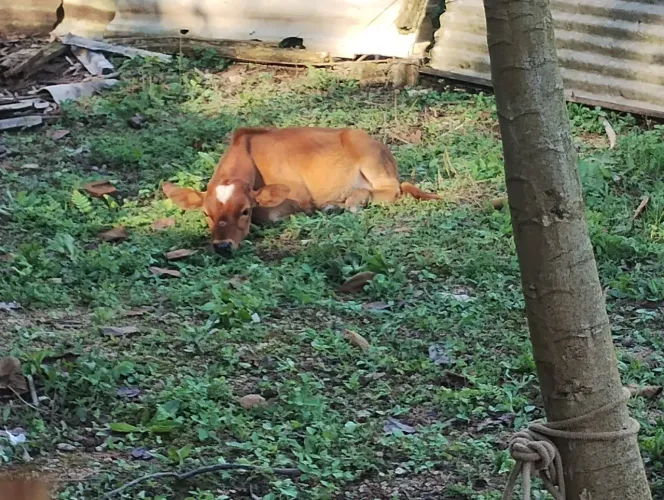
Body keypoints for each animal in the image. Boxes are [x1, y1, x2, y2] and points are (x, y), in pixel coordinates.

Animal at [161, 126, 440, 255]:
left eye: (244, 211)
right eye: (206, 214)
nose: (222, 246)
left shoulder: (298, 198)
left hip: (371, 158)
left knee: (392, 189)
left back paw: (352, 200)